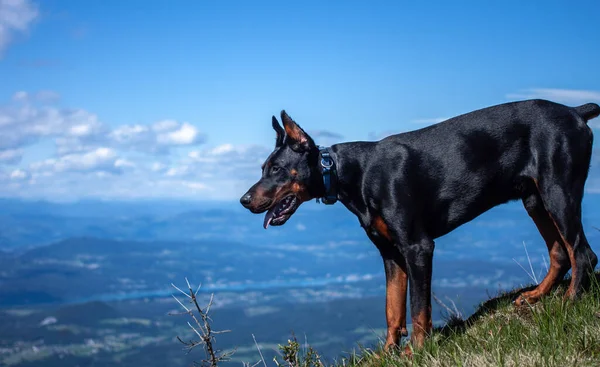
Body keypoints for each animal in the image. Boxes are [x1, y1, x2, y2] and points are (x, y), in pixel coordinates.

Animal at [239, 100, 600, 354]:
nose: (244, 200)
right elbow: (392, 308)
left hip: (558, 191)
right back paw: (536, 295)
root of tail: (575, 111)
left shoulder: (417, 248)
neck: (352, 172)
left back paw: (569, 303)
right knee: (560, 252)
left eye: (276, 169)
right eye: (263, 168)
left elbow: (418, 308)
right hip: (534, 200)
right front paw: (388, 352)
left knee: (582, 252)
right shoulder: (391, 254)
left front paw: (418, 351)